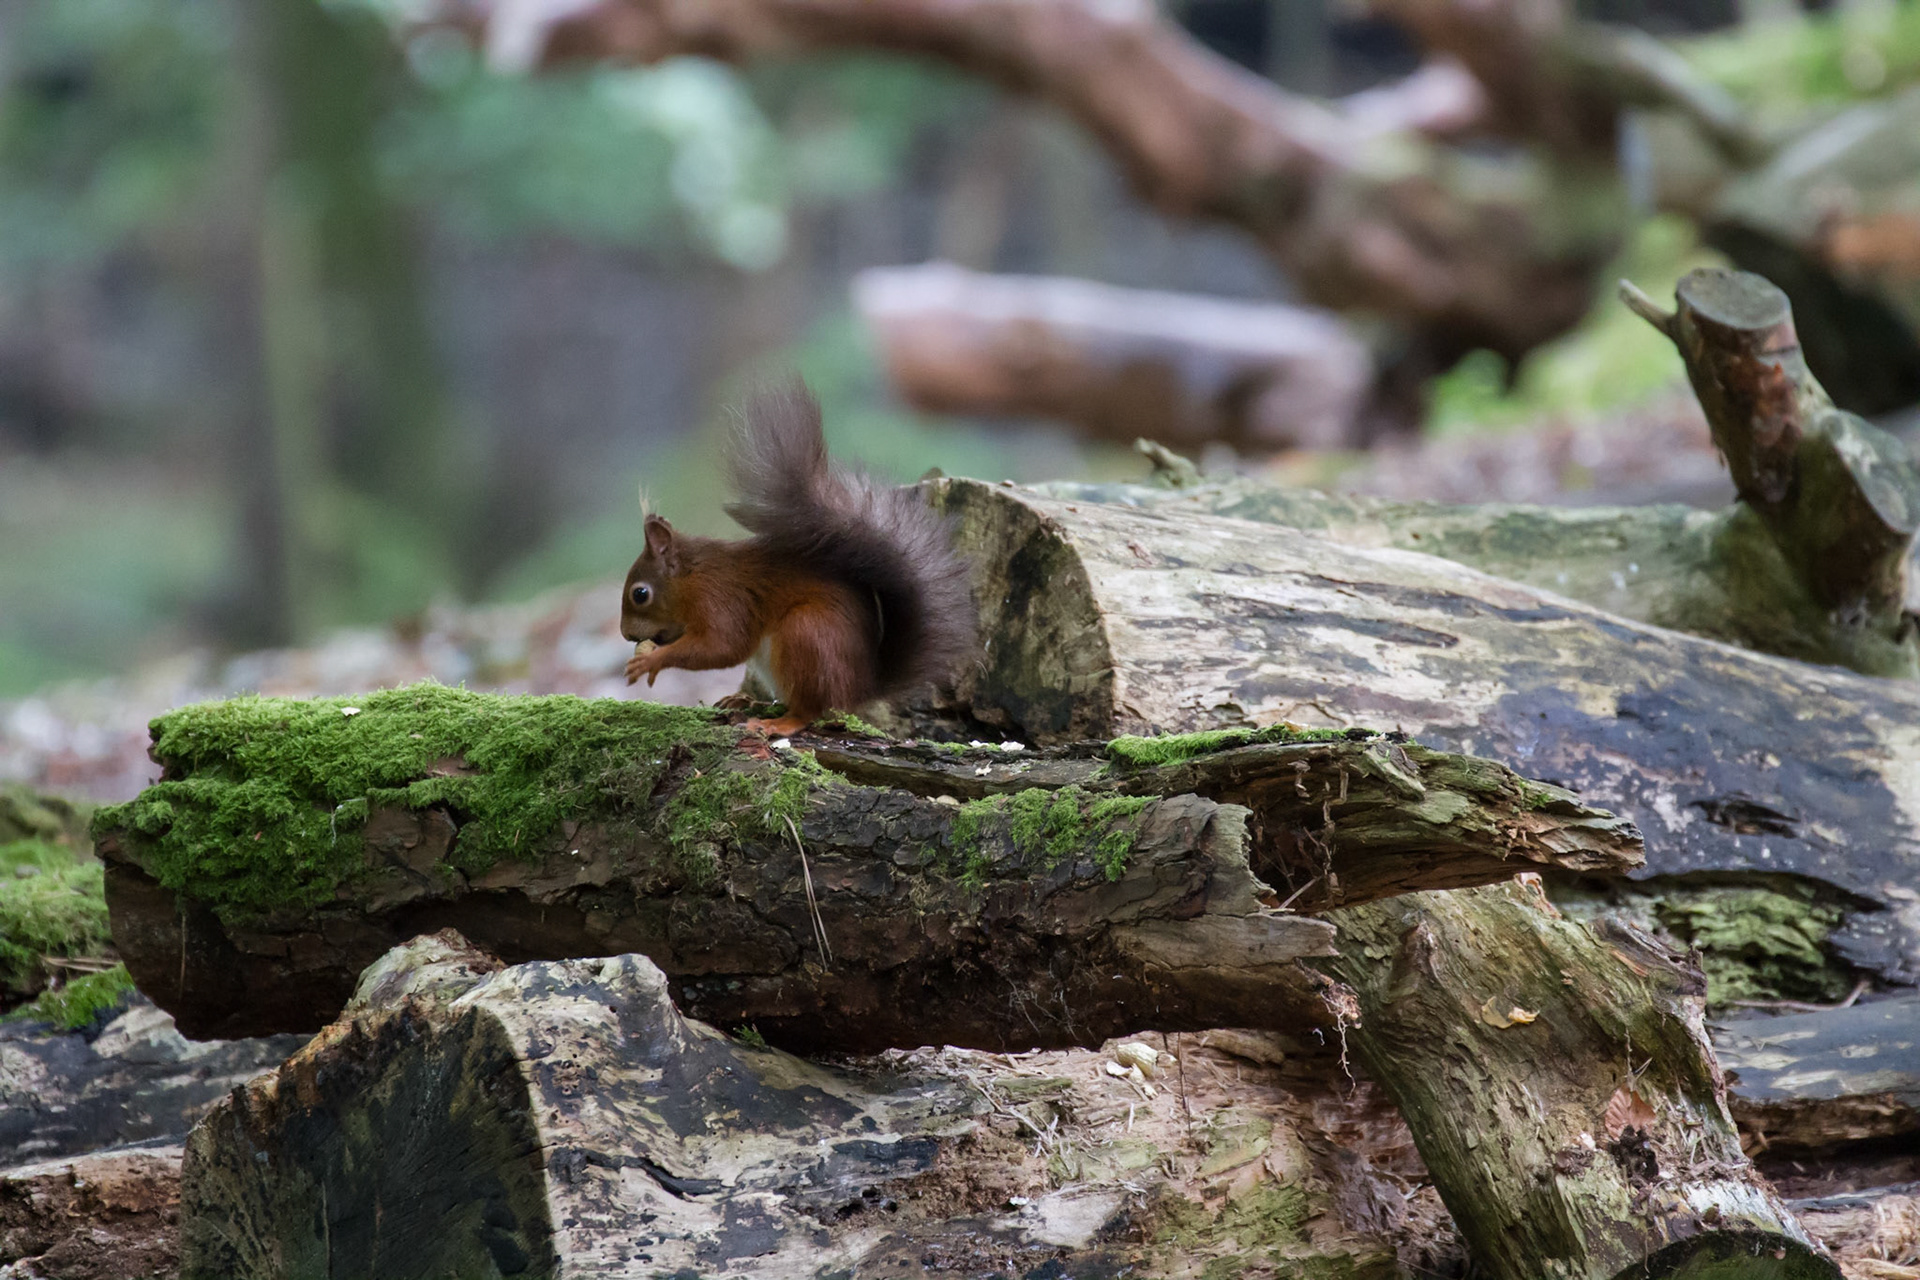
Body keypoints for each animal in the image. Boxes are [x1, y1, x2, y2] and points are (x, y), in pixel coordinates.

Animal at [620, 380, 976, 737]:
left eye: (640, 594)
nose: (625, 634)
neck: (693, 576)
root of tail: (860, 689)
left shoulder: (721, 599)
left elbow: (723, 646)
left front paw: (651, 660)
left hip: (806, 633)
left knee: (810, 710)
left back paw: (779, 722)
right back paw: (748, 701)